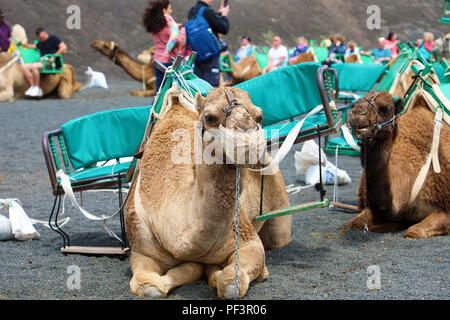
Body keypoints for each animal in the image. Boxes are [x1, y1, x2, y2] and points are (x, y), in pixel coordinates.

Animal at [125, 87, 292, 298]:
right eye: (209, 117)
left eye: (260, 115)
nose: (249, 142)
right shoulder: (142, 247)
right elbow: (150, 287)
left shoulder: (247, 239)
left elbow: (231, 285)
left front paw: (254, 272)